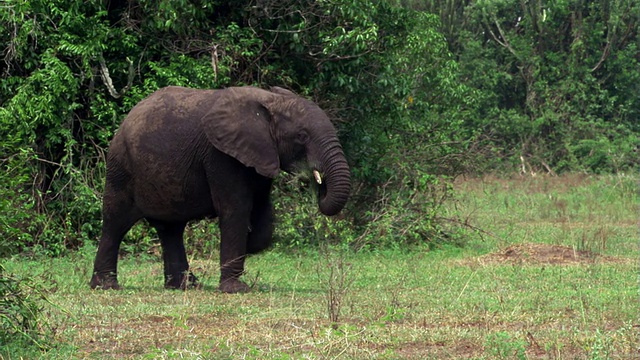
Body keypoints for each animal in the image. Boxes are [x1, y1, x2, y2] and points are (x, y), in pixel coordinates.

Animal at [90, 86, 350, 294]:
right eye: (301, 136)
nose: (319, 183)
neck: (269, 102)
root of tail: (127, 117)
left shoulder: (260, 155)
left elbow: (262, 216)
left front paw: (249, 245)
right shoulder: (220, 156)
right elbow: (236, 209)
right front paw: (236, 289)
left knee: (171, 229)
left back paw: (185, 286)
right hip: (121, 166)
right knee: (115, 222)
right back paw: (106, 286)